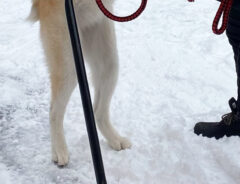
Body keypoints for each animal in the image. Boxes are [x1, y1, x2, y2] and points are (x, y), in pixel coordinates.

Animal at [29, 0, 132, 166]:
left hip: (108, 60)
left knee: (98, 112)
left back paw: (114, 138)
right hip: (69, 62)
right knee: (54, 112)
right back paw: (59, 150)